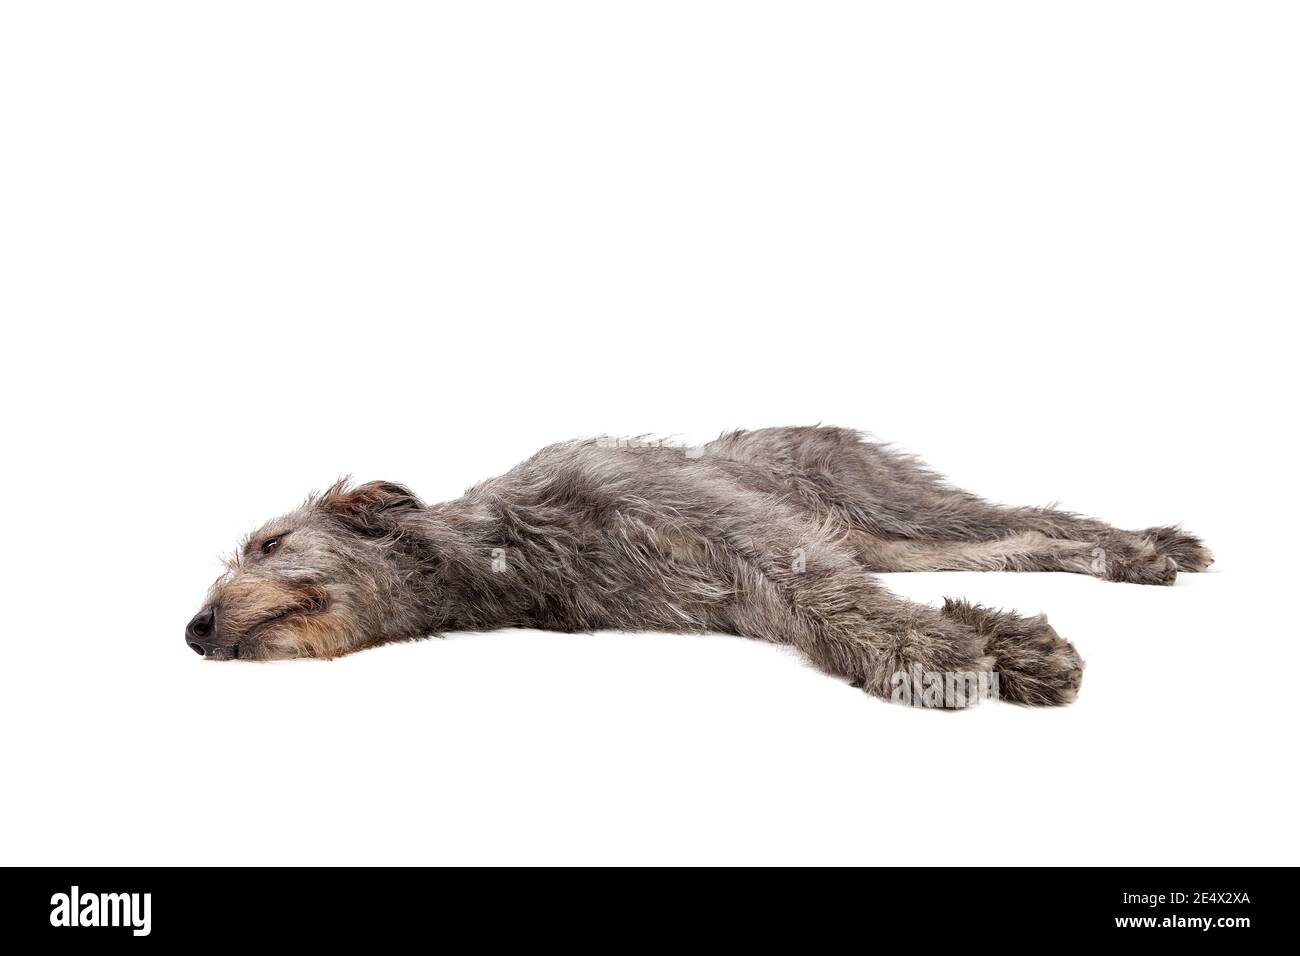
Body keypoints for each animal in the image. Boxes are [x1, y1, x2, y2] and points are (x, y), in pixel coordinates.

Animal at [188, 429, 1211, 707]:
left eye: (269, 545)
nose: (194, 631)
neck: (502, 551)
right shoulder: (726, 593)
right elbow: (822, 606)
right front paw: (1006, 645)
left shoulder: (733, 526)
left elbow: (824, 592)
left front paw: (938, 652)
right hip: (895, 537)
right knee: (1014, 543)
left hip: (887, 501)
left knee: (1038, 518)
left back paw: (1147, 545)